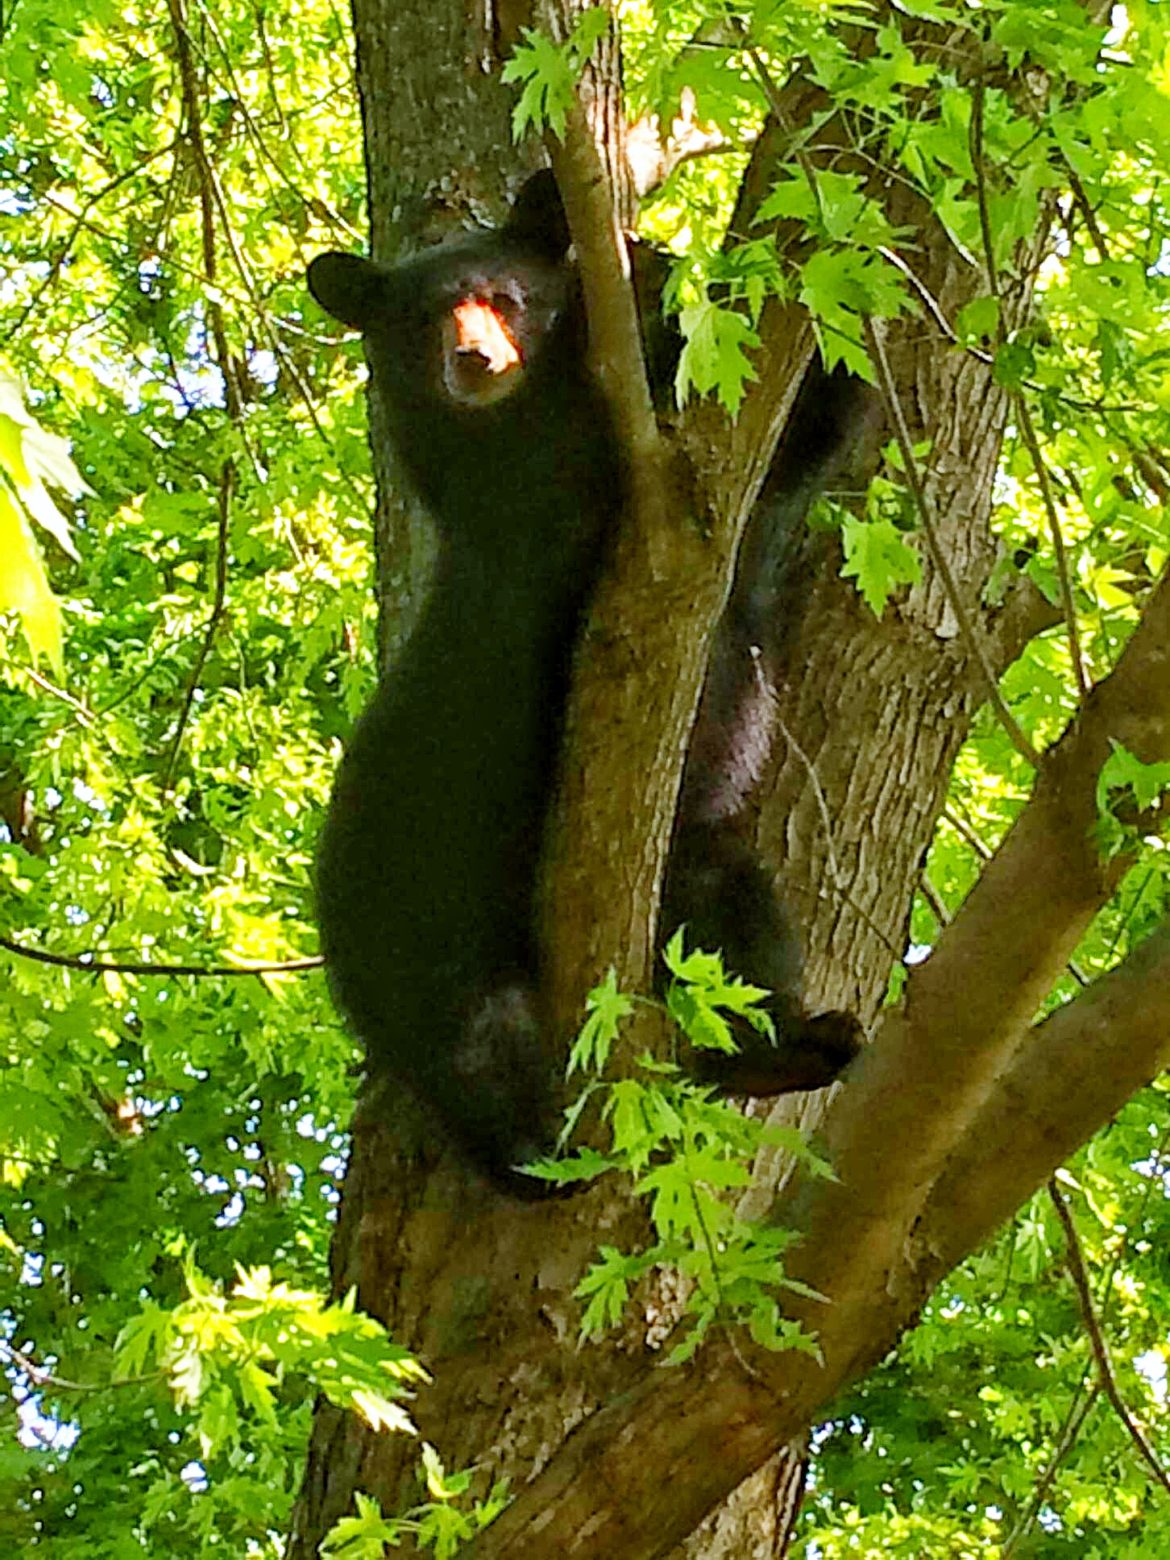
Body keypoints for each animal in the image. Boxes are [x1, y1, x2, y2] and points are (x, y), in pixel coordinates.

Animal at [307, 169, 861, 1197]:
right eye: (426, 317)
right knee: (483, 1057)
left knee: (734, 926)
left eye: (507, 297)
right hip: (429, 938)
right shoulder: (530, 500)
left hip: (687, 872)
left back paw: (793, 1044)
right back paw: (539, 1153)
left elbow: (810, 420)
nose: (475, 359)